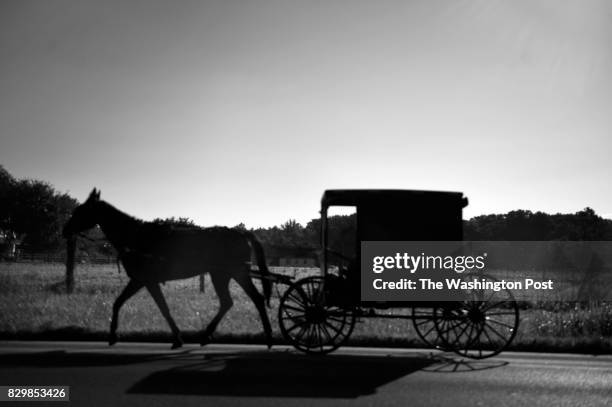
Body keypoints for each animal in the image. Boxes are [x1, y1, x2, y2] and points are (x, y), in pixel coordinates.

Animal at [62, 190, 272, 350]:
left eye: (81, 210)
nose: (65, 230)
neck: (136, 237)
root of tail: (241, 233)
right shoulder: (139, 280)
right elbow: (118, 303)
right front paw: (113, 335)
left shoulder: (146, 281)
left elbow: (163, 309)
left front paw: (177, 339)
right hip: (226, 275)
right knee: (236, 301)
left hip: (231, 273)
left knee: (247, 300)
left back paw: (266, 337)